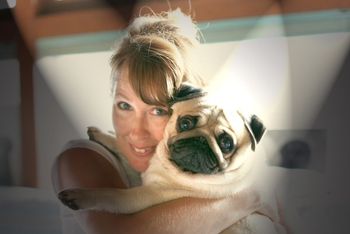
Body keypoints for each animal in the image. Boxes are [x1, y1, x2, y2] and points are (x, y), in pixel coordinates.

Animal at [58, 85, 286, 233]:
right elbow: (122, 151)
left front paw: (80, 196)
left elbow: (112, 195)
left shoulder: (145, 195)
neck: (170, 167)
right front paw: (102, 135)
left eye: (227, 143)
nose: (201, 141)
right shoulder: (142, 173)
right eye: (185, 123)